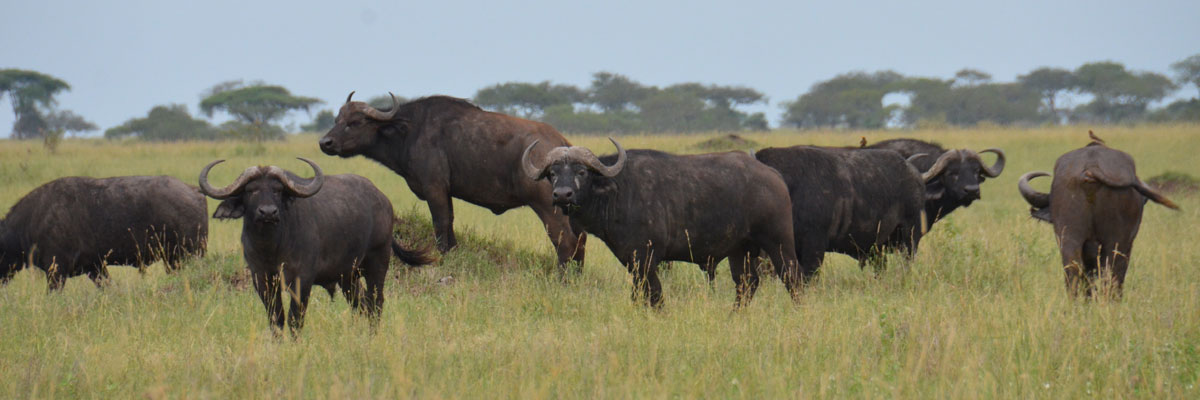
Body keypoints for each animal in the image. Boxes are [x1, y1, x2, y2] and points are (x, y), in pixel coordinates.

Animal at [199, 158, 431, 333]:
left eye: (277, 190)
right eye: (251, 190)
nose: (268, 212)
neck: (272, 247)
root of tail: (383, 200)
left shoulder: (302, 280)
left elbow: (295, 318)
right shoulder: (262, 279)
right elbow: (276, 318)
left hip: (377, 262)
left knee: (376, 303)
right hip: (348, 277)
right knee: (361, 305)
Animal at [319, 93, 586, 273]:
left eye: (355, 122)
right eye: (337, 119)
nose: (325, 142)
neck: (410, 131)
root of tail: (562, 143)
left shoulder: (434, 189)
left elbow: (440, 224)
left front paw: (443, 256)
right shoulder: (445, 193)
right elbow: (450, 225)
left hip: (548, 206)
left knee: (565, 240)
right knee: (580, 239)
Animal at [521, 139, 802, 308]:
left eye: (581, 172)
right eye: (553, 173)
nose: (562, 195)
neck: (619, 192)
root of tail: (772, 175)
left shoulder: (647, 258)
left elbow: (654, 294)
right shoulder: (631, 260)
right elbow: (639, 294)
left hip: (778, 242)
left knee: (792, 278)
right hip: (740, 250)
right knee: (746, 283)